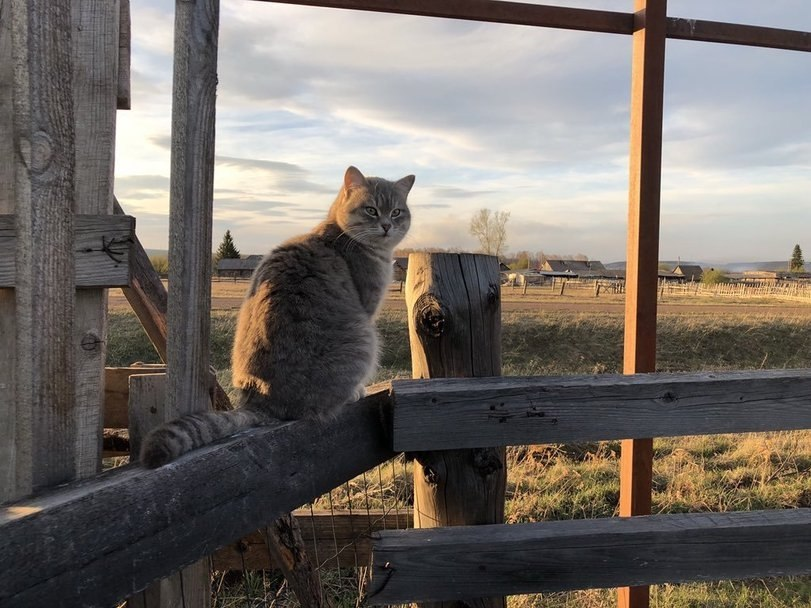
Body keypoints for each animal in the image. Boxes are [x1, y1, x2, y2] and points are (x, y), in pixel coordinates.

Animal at [140, 164, 416, 468]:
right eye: (371, 210)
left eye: (396, 212)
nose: (387, 225)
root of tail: (263, 403)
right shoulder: (368, 307)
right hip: (366, 338)